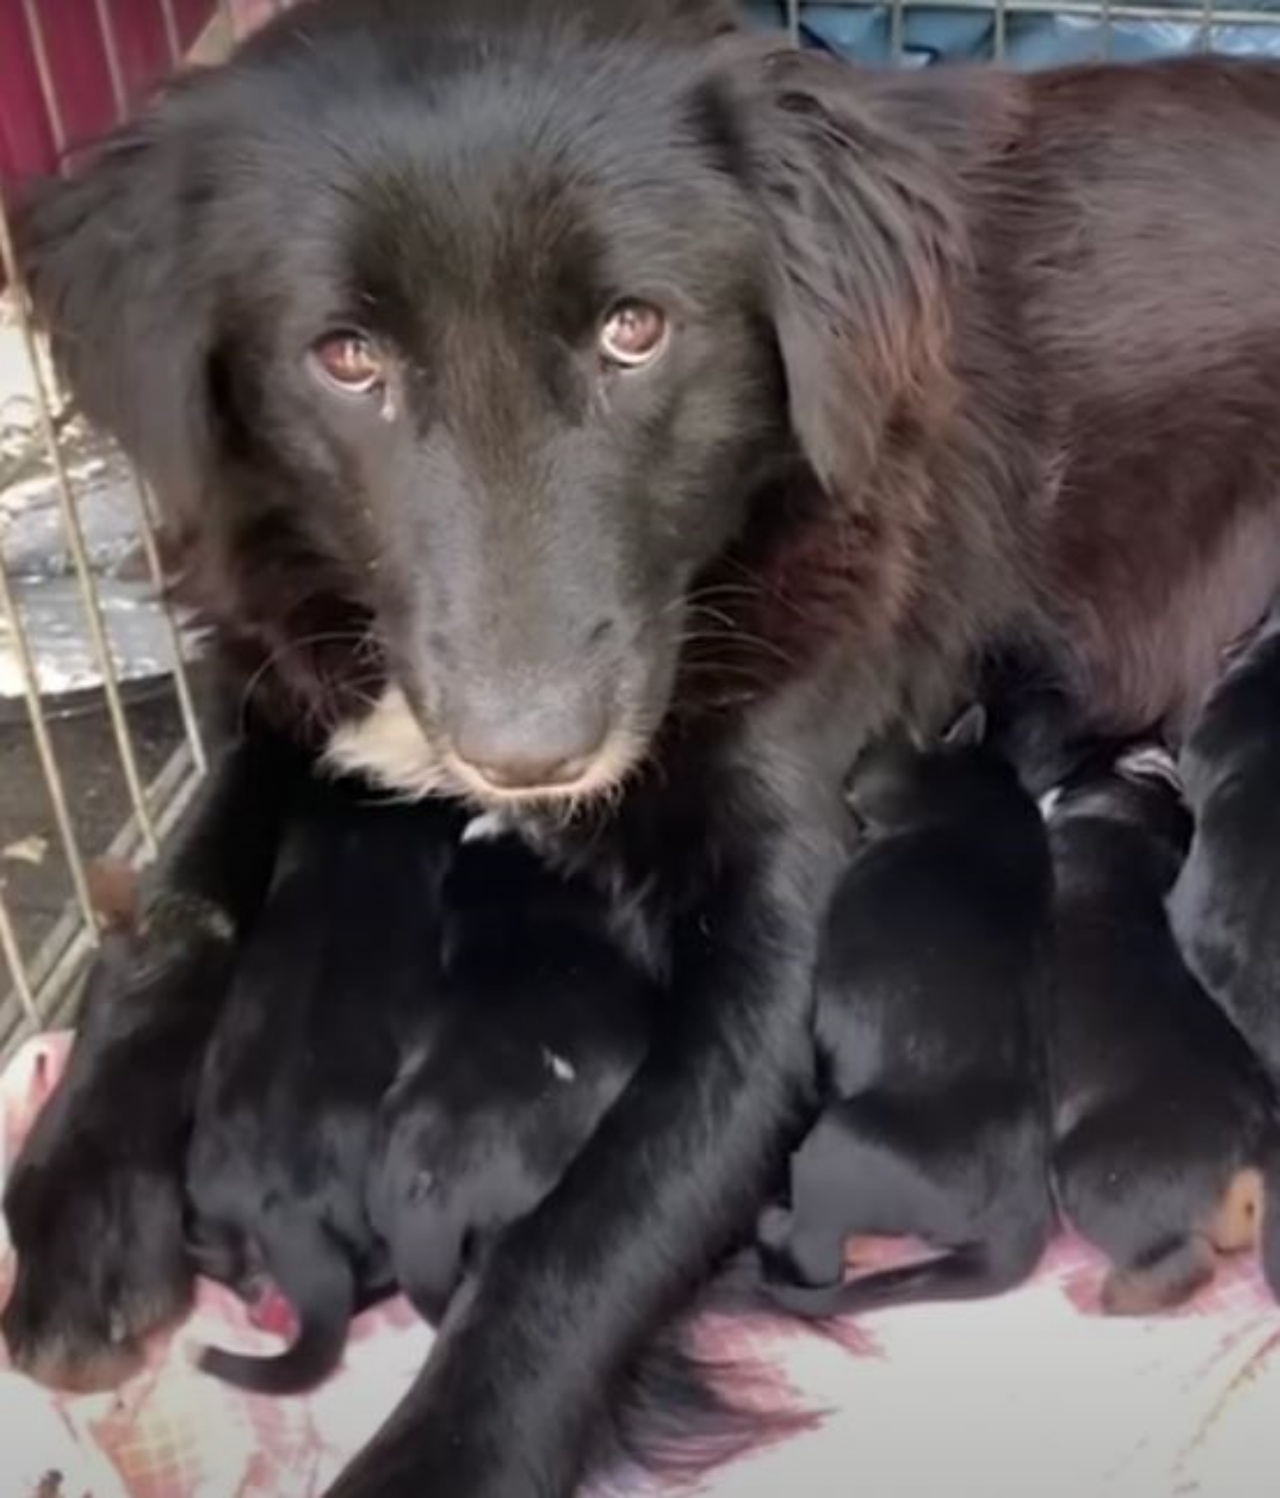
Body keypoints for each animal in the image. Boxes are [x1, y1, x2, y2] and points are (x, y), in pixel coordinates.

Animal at [755, 707, 1055, 1318]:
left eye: (895, 742)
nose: (867, 742)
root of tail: (1022, 1215)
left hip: (834, 1146)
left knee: (818, 1256)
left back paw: (772, 1224)